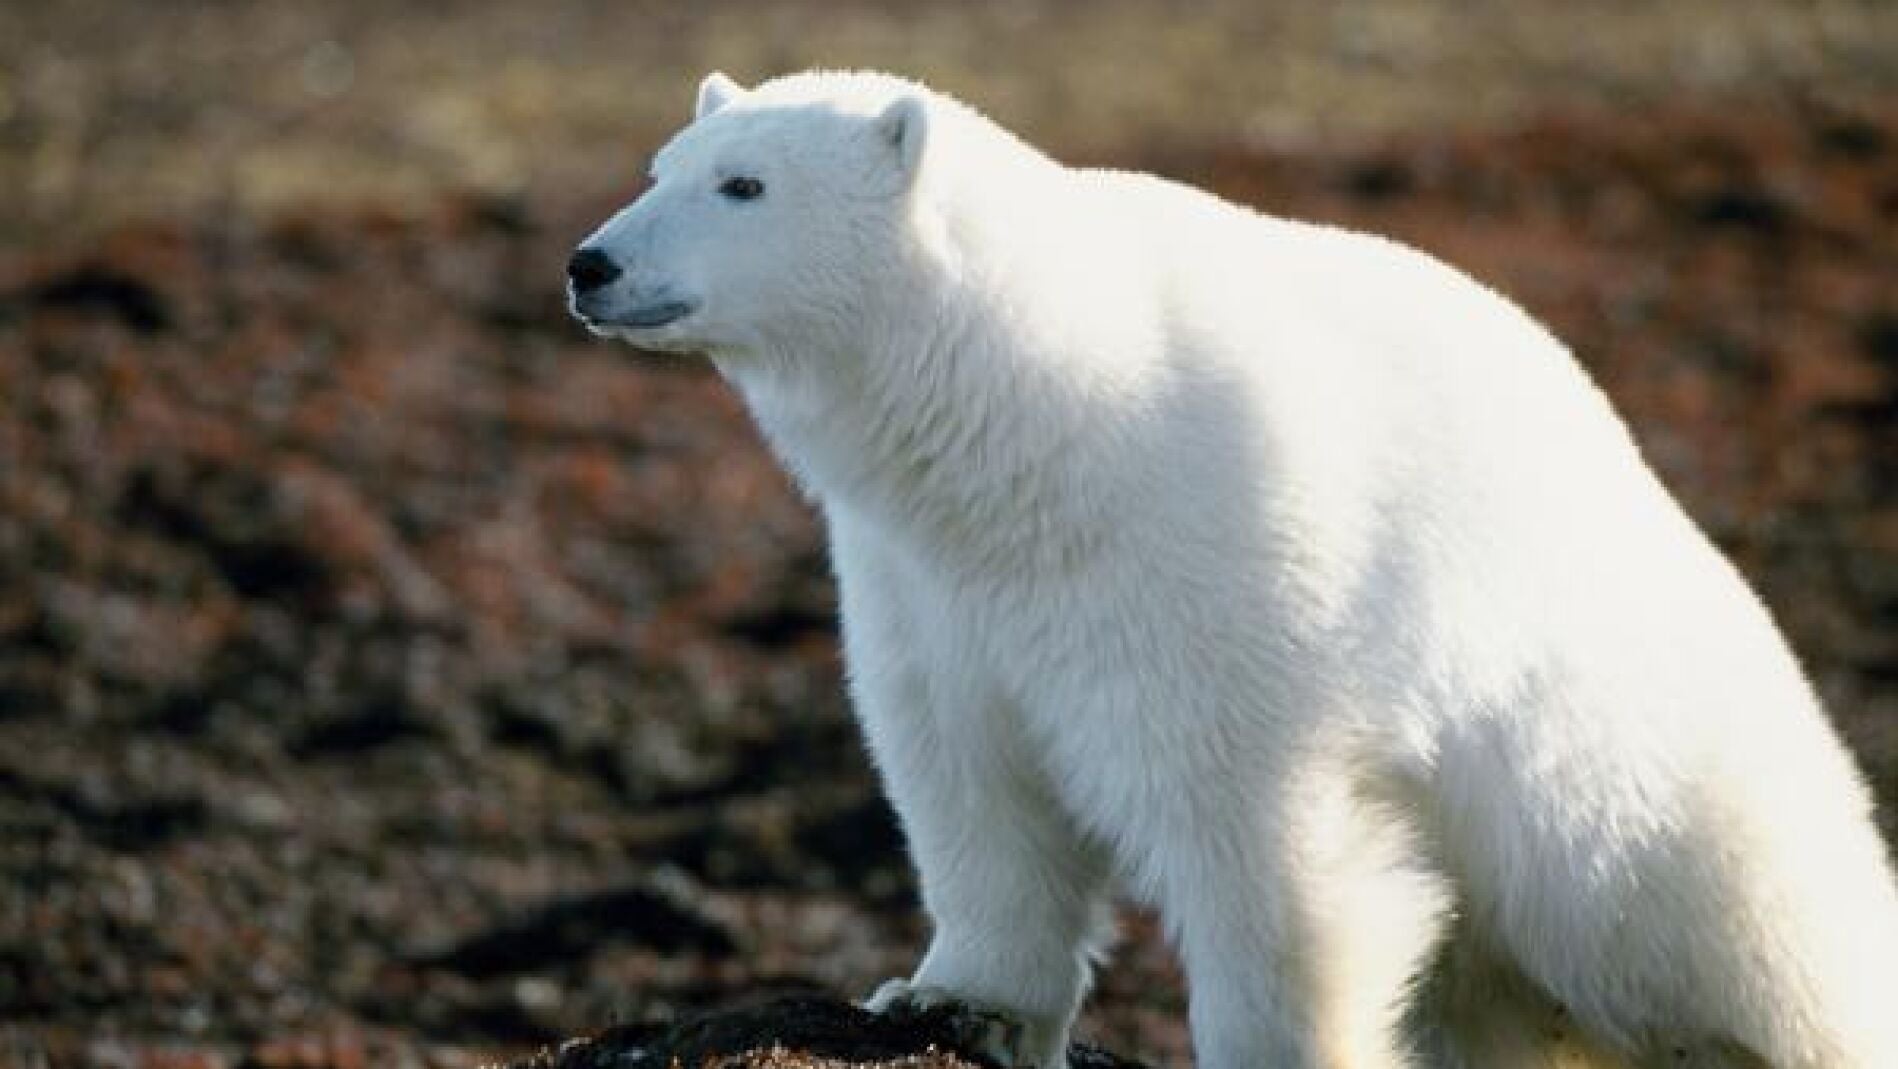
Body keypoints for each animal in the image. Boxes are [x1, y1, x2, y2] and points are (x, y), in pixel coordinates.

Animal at [567, 70, 1898, 1068]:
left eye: (744, 184)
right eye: (659, 166)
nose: (590, 264)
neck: (1042, 434)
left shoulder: (1214, 559)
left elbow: (1260, 842)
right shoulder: (924, 584)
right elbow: (966, 780)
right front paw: (952, 1001)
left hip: (1622, 779)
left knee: (1749, 934)